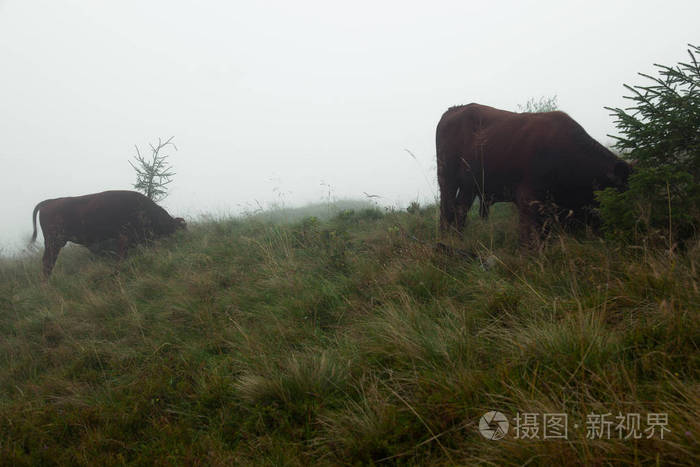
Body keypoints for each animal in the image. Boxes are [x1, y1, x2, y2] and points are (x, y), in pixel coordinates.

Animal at [30, 191, 186, 278]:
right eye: (178, 228)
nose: (183, 240)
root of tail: (48, 202)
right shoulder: (123, 239)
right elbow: (120, 258)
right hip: (54, 242)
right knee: (48, 262)